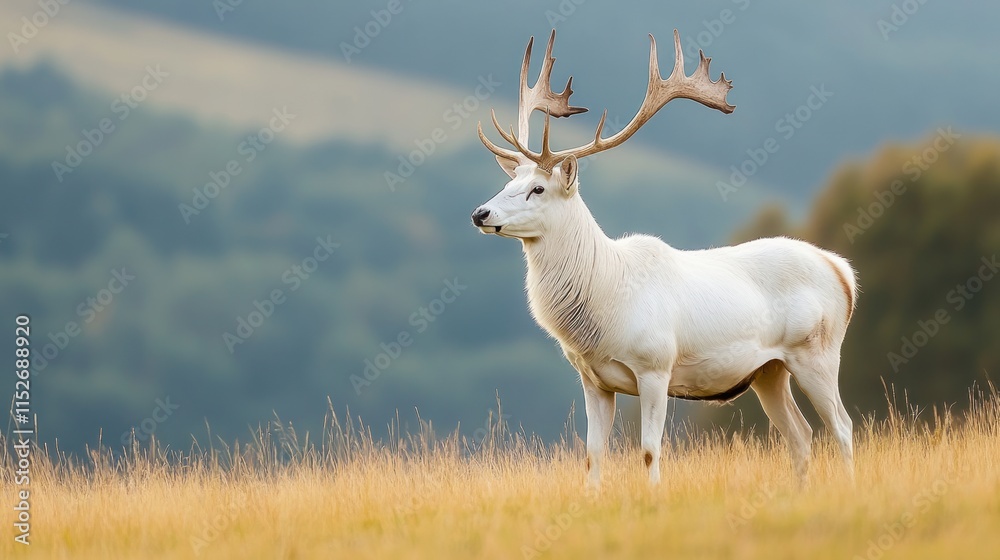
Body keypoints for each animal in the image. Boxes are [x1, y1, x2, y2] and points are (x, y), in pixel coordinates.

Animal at [471, 29, 857, 487]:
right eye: (509, 181)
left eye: (538, 189)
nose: (480, 213)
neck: (604, 302)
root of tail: (843, 272)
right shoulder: (592, 379)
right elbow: (592, 454)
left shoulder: (655, 366)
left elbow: (650, 450)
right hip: (769, 370)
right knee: (801, 434)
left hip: (817, 351)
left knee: (842, 426)